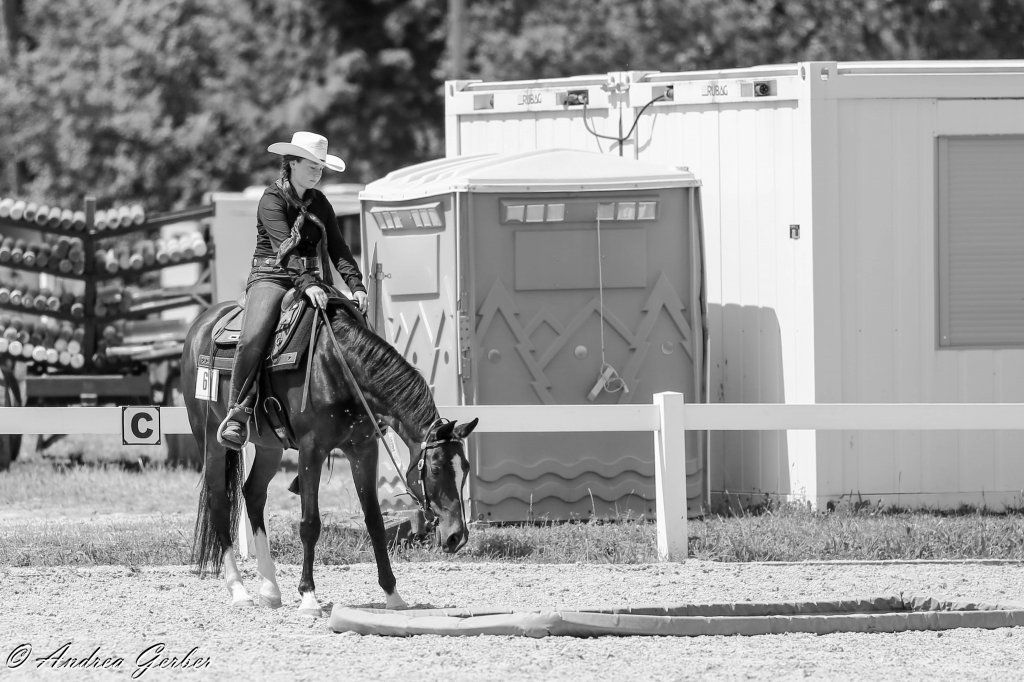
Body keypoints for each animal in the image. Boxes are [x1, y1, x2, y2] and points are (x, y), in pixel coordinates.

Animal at [180, 297, 478, 615]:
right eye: (435, 469)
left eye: (466, 468)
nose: (457, 536)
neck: (339, 366)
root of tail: (202, 323)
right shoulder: (312, 450)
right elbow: (310, 523)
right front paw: (309, 596)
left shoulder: (363, 449)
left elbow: (374, 522)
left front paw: (393, 595)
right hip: (210, 440)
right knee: (219, 502)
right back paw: (238, 590)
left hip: (269, 448)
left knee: (254, 494)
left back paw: (270, 589)